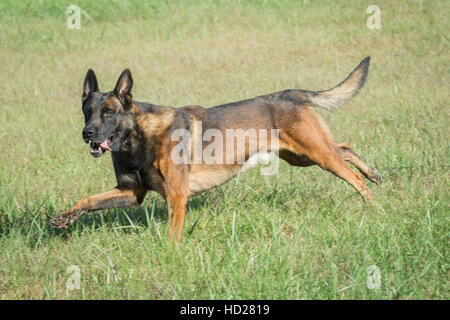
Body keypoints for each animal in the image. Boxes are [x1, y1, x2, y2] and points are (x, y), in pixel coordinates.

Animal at [48, 56, 380, 241]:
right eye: (87, 111)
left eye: (108, 113)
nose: (87, 133)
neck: (138, 137)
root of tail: (289, 94)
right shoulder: (131, 193)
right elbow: (89, 200)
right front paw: (65, 217)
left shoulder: (177, 196)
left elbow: (173, 234)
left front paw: (170, 255)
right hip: (301, 157)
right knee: (345, 147)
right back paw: (373, 173)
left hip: (315, 154)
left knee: (352, 174)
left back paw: (374, 207)